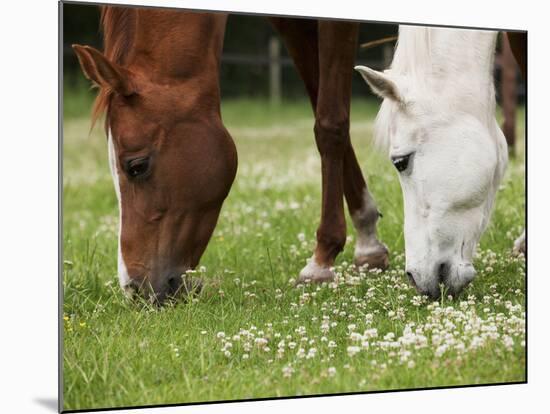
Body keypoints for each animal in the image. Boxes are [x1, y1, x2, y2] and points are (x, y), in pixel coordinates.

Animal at [73, 5, 390, 304]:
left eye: (136, 166)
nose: (134, 290)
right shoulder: (290, 23)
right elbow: (323, 107)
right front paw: (368, 242)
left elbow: (330, 124)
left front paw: (321, 262)